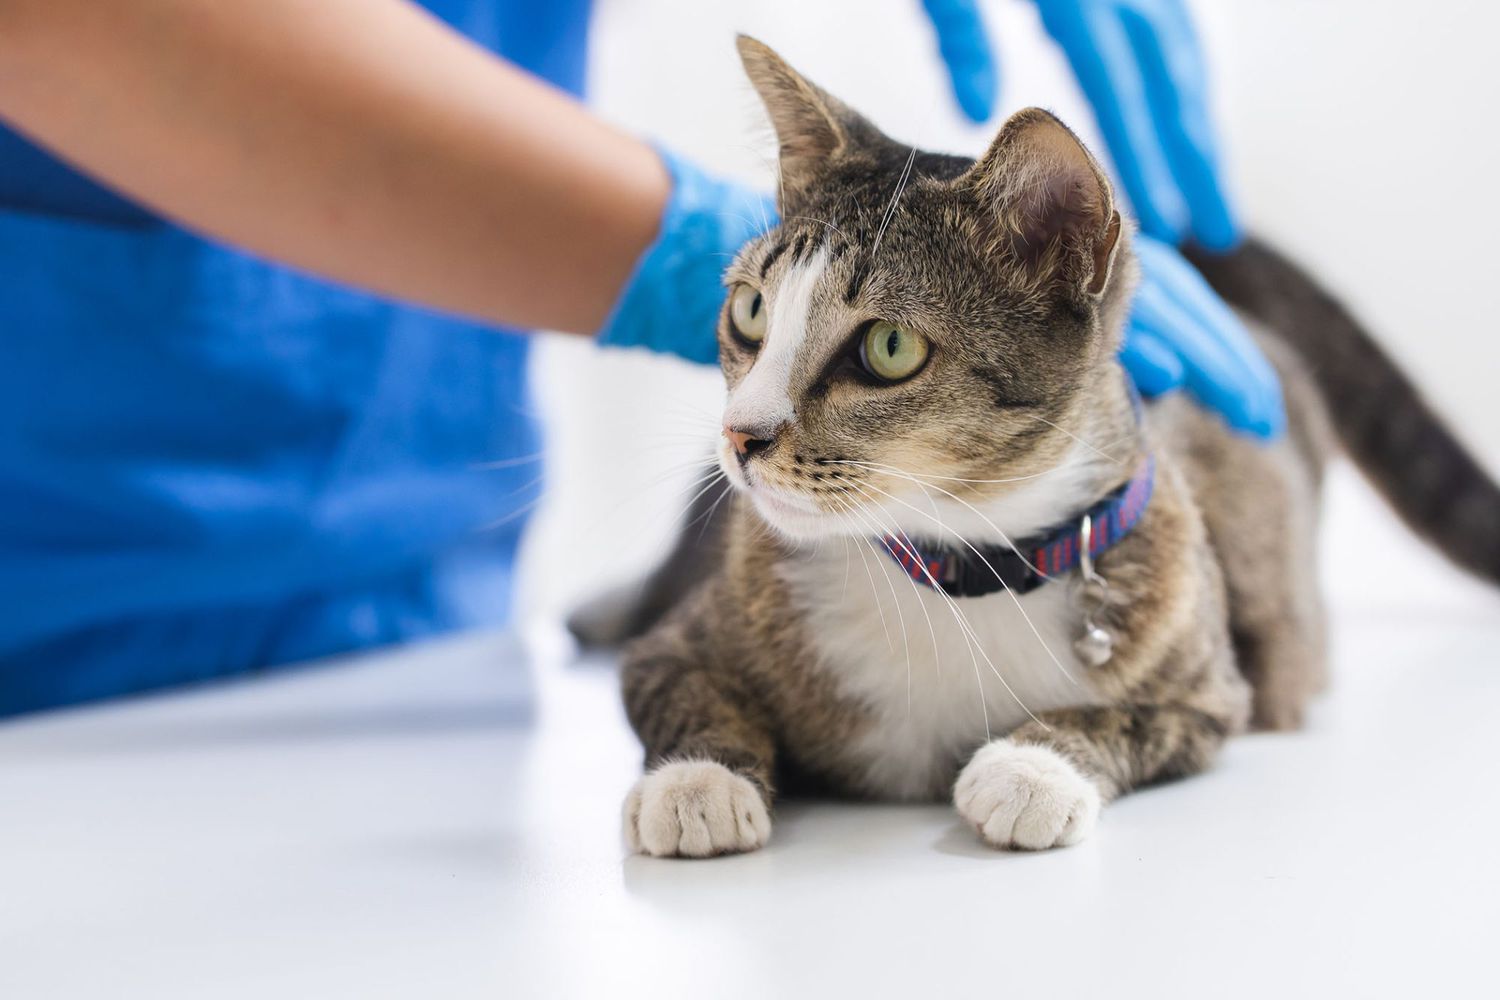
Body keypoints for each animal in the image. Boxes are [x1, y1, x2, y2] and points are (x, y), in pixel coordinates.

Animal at [573, 35, 1500, 857]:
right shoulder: (688, 636)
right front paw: (695, 781)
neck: (955, 569)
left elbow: (1141, 718)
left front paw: (1033, 767)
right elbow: (682, 686)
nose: (741, 435)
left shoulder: (1211, 683)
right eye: (751, 311)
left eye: (888, 348)